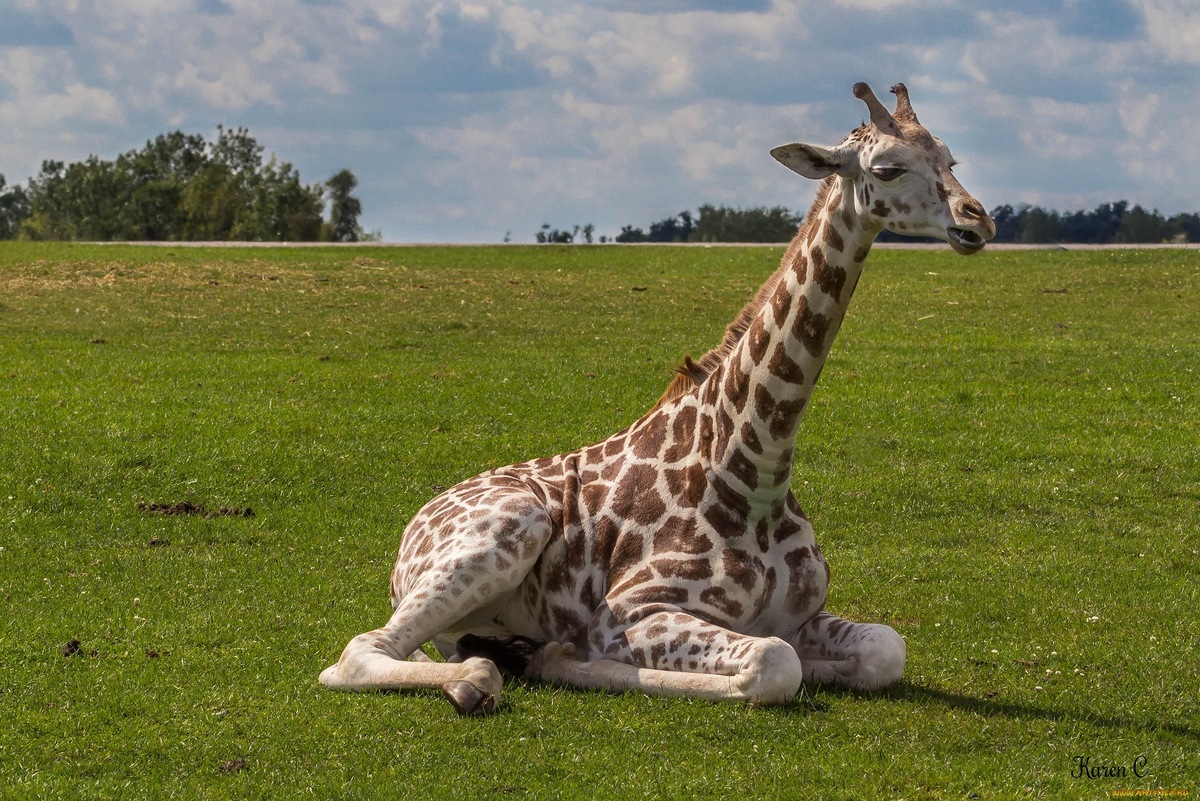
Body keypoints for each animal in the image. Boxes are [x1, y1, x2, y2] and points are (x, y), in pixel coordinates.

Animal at [319, 81, 993, 714]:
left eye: (951, 158)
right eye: (887, 169)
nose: (977, 221)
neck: (756, 475)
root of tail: (412, 528)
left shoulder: (802, 615)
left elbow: (885, 649)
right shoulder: (632, 612)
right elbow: (775, 663)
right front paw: (566, 656)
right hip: (508, 530)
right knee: (357, 655)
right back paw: (483, 677)